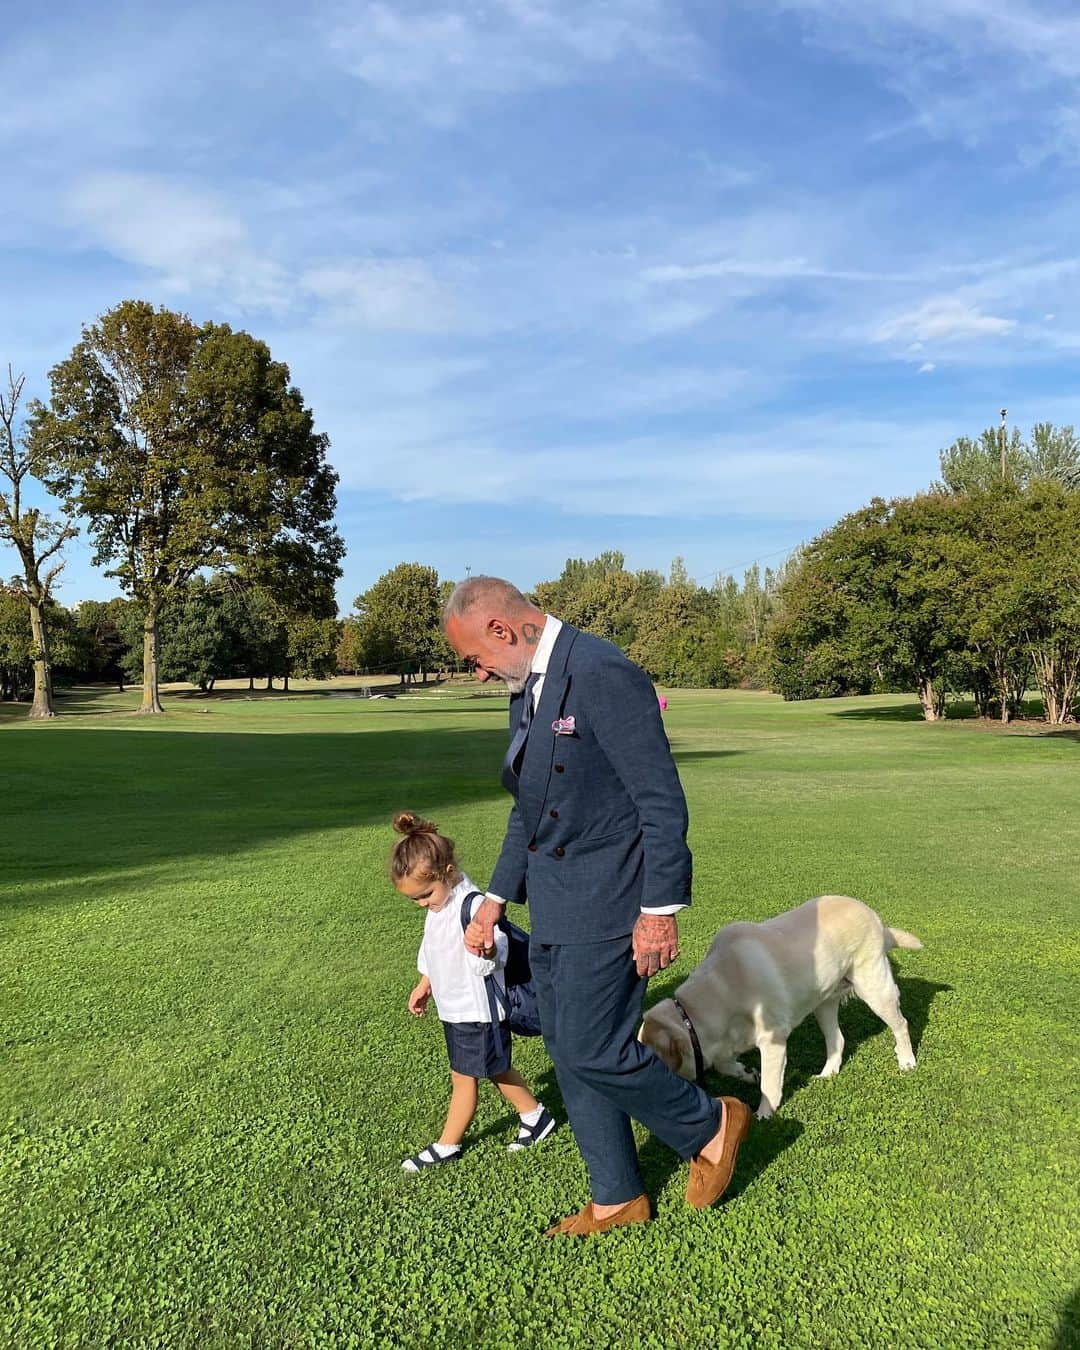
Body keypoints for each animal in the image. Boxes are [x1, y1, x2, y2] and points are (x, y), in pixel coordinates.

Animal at [637, 896, 923, 1117]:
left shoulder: (772, 1039)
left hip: (874, 988)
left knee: (901, 1023)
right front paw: (746, 1073)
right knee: (838, 1039)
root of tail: (874, 916)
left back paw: (907, 1061)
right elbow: (724, 1064)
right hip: (823, 1001)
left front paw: (763, 1115)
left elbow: (769, 1085)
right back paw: (828, 1073)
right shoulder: (722, 1041)